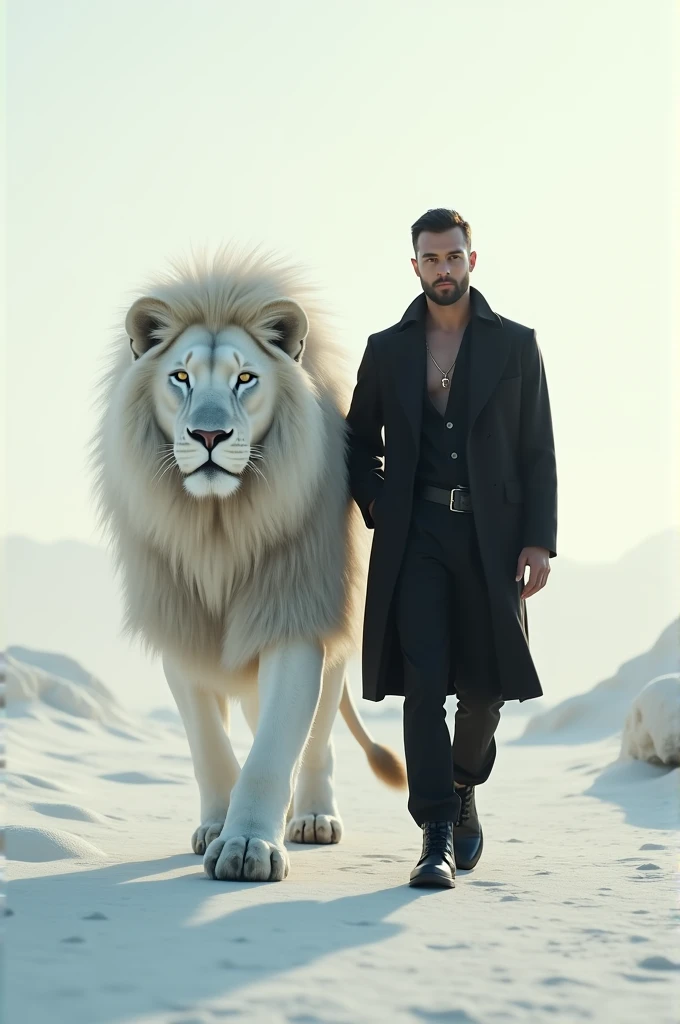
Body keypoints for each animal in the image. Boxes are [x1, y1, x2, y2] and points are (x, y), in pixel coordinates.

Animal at [93, 247, 405, 880]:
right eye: (181, 376)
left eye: (245, 377)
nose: (209, 434)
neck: (219, 529)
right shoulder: (181, 628)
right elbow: (208, 743)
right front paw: (218, 826)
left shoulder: (295, 615)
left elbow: (277, 745)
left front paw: (249, 846)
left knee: (317, 739)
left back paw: (311, 817)